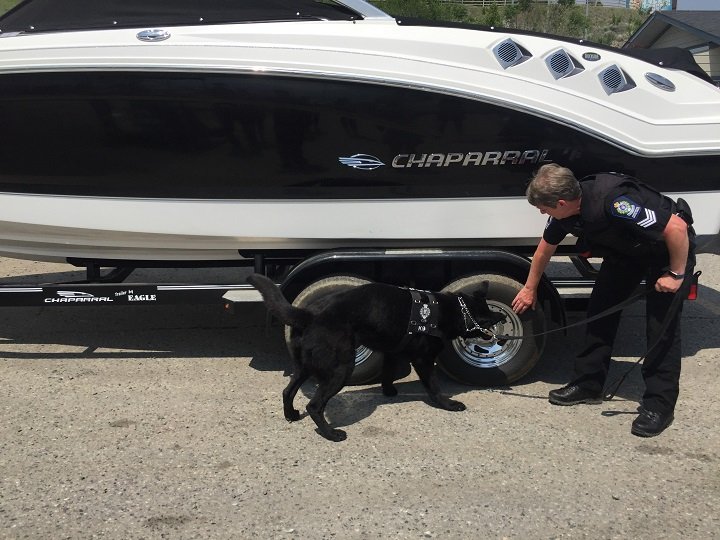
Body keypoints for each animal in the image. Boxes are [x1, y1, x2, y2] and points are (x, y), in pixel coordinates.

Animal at [245, 274, 504, 442]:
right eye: (487, 317)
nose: (501, 318)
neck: (445, 310)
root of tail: (308, 314)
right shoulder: (423, 360)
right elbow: (434, 386)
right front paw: (448, 404)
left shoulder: (392, 351)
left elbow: (388, 373)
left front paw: (389, 391)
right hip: (341, 368)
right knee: (314, 405)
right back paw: (331, 434)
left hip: (304, 366)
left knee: (287, 391)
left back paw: (291, 415)